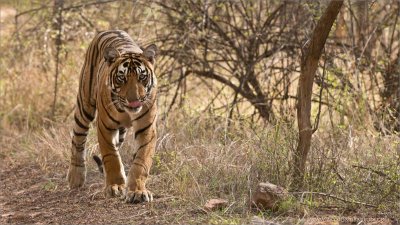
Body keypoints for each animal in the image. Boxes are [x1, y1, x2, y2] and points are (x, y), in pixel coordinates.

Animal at [67, 29, 158, 204]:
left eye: (142, 77)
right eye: (122, 78)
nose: (134, 100)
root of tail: (109, 30)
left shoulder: (147, 129)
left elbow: (141, 161)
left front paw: (137, 191)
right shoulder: (105, 127)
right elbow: (111, 157)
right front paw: (115, 187)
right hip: (85, 105)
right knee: (78, 137)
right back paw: (75, 176)